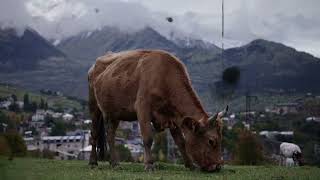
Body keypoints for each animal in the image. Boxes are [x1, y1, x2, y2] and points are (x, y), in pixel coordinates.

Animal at [87, 49, 228, 172]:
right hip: (94, 107)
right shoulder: (143, 108)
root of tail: (94, 65)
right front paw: (149, 165)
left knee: (110, 135)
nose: (217, 166)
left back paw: (114, 163)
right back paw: (93, 162)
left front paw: (190, 165)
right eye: (211, 141)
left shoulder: (173, 117)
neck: (165, 76)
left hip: (114, 113)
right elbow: (148, 138)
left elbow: (181, 142)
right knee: (94, 134)